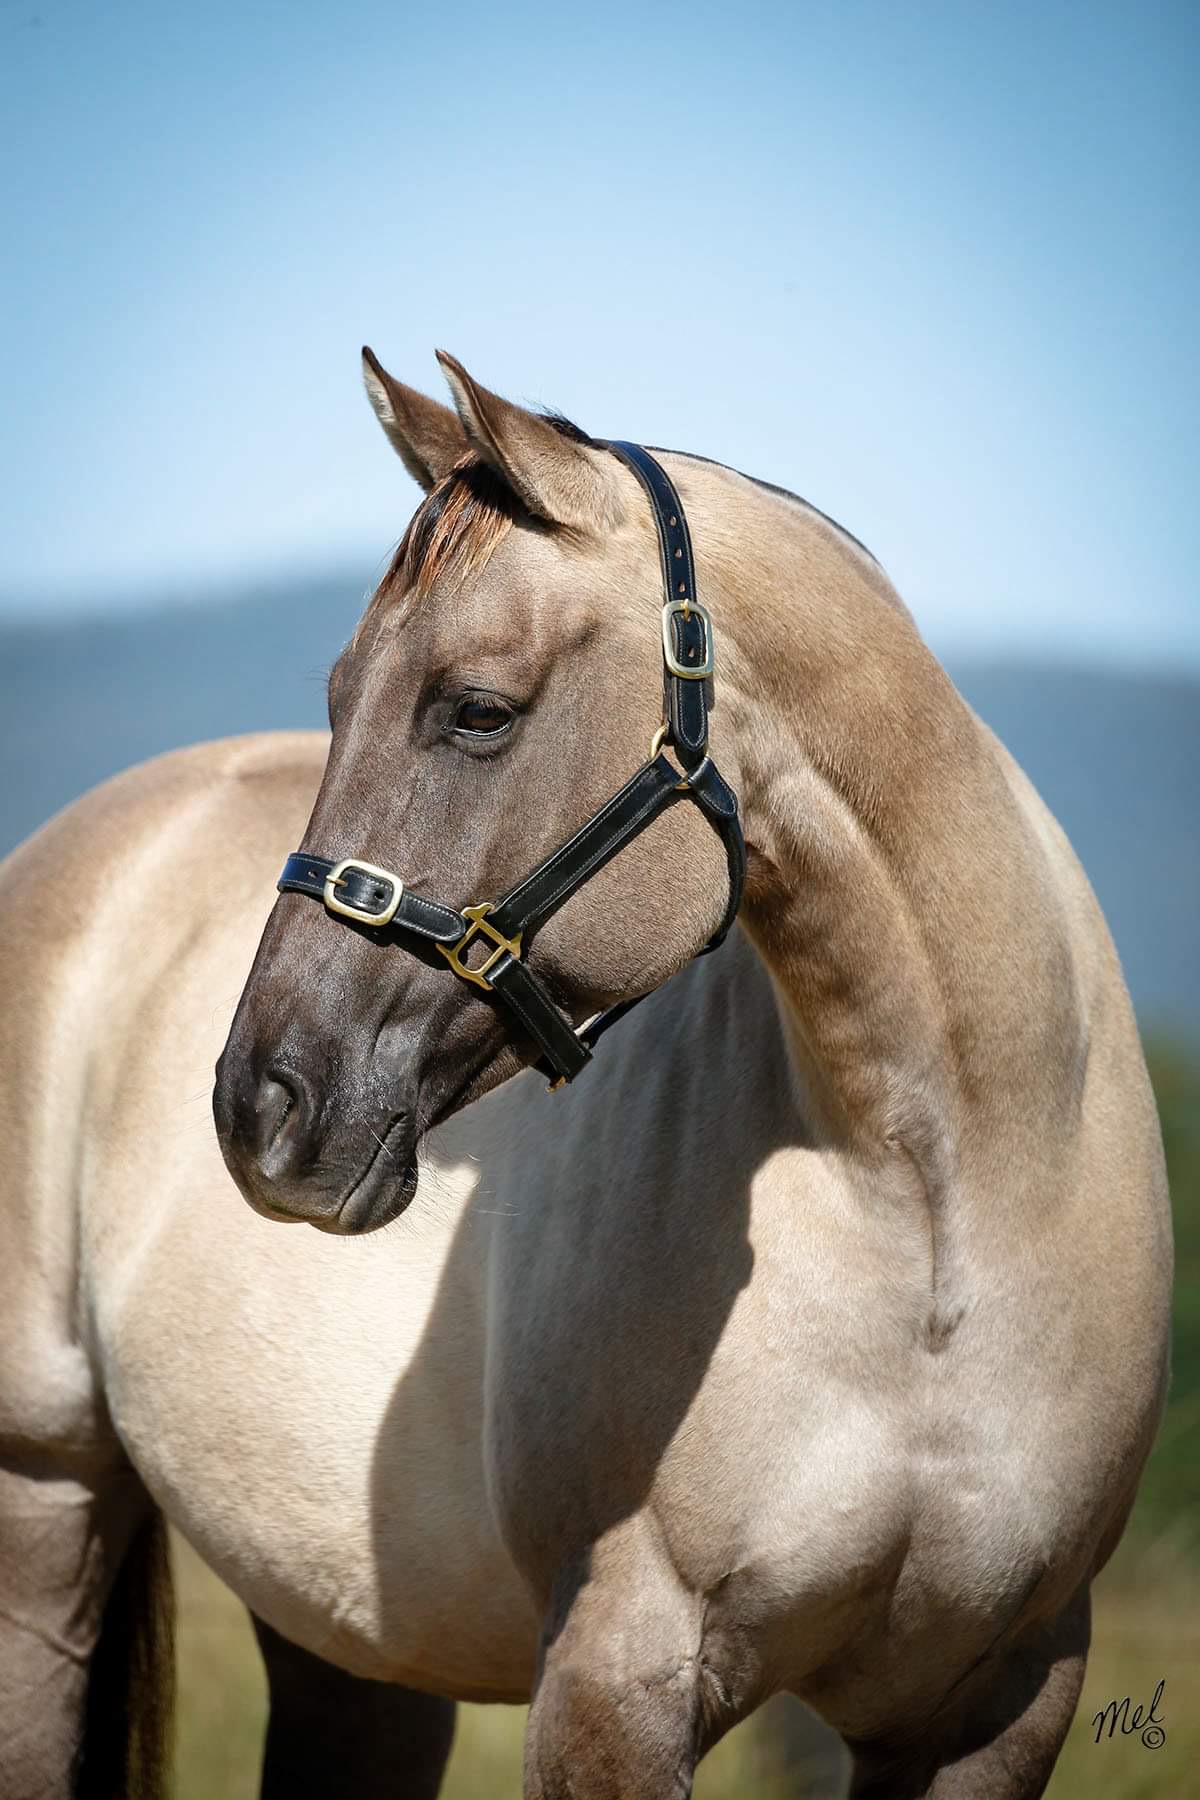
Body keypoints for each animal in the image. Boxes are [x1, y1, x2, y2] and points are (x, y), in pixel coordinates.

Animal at [0, 347, 1171, 1799]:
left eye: (476, 711)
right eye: (337, 700)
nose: (258, 1105)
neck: (935, 1215)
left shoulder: (1004, 1696)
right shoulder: (615, 1672)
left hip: (343, 1635)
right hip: (41, 1516)